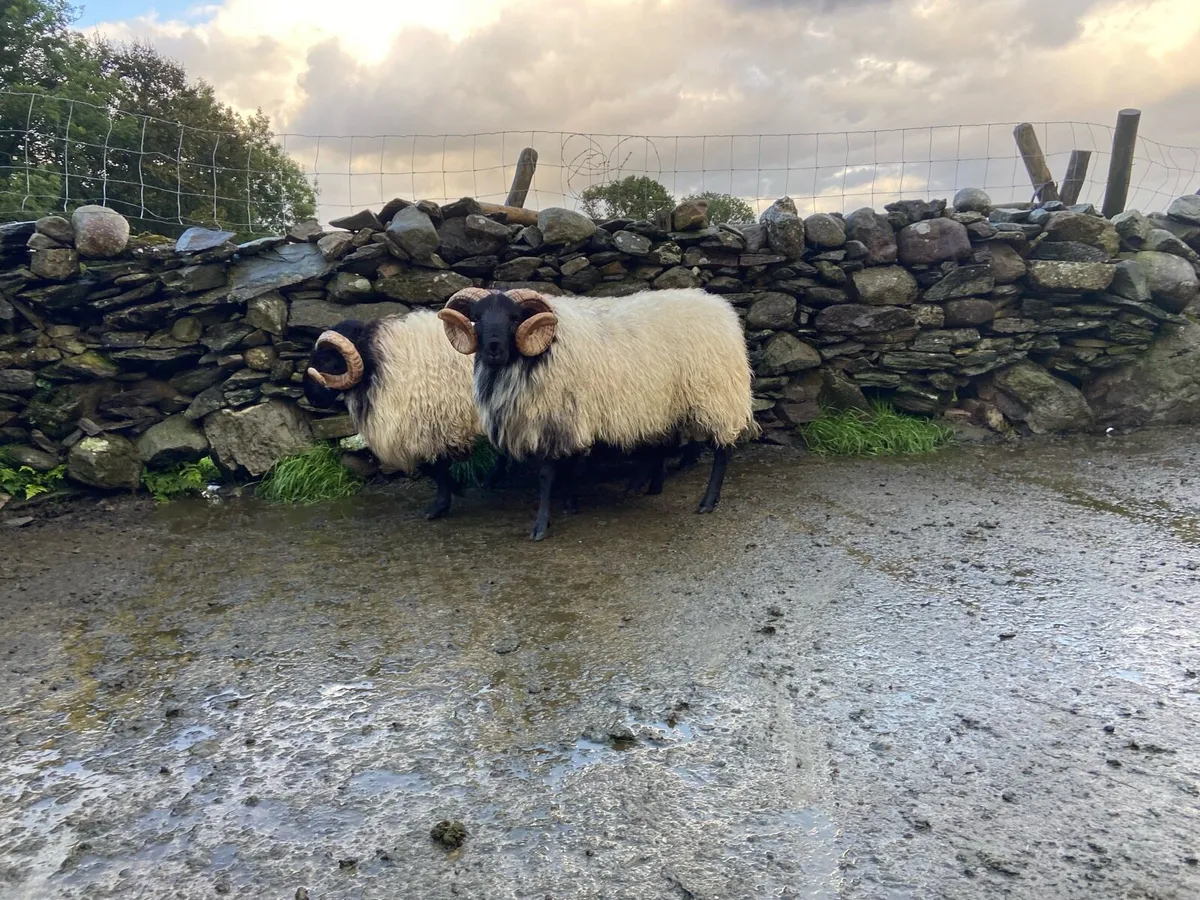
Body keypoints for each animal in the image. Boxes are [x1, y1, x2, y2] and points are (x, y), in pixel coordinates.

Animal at [303, 310, 494, 520]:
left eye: (327, 360)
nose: (311, 397)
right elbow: (431, 468)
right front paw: (457, 488)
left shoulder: (431, 426)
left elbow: (435, 468)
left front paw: (438, 507)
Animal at [436, 286, 759, 540]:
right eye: (477, 317)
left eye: (514, 318)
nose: (493, 349)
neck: (542, 351)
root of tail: (721, 307)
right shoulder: (572, 415)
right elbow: (572, 465)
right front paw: (571, 503)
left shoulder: (556, 418)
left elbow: (548, 474)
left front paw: (541, 525)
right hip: (666, 401)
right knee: (663, 445)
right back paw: (648, 486)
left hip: (717, 395)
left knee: (722, 451)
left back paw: (708, 501)